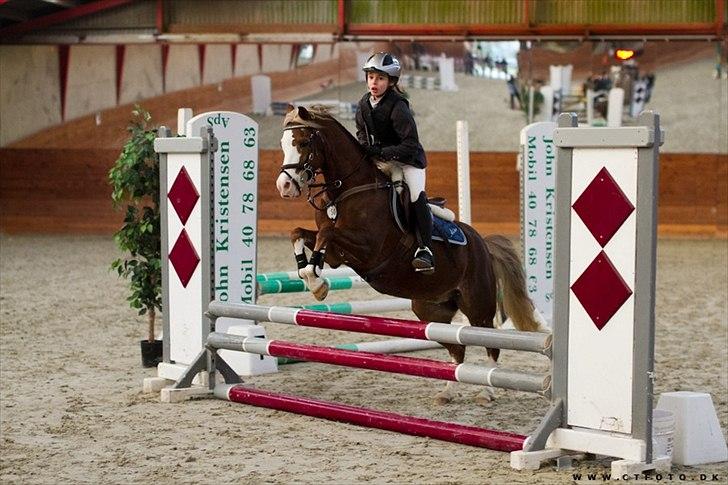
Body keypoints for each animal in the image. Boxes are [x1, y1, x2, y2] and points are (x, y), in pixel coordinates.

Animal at [276, 107, 544, 404]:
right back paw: (448, 392)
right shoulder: (337, 253)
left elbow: (327, 234)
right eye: (283, 144)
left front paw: (316, 281)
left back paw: (487, 391)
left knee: (489, 343)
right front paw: (308, 272)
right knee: (457, 347)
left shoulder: (368, 249)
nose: (284, 186)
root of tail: (483, 245)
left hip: (477, 306)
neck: (347, 190)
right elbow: (299, 233)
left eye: (303, 143)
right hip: (430, 311)